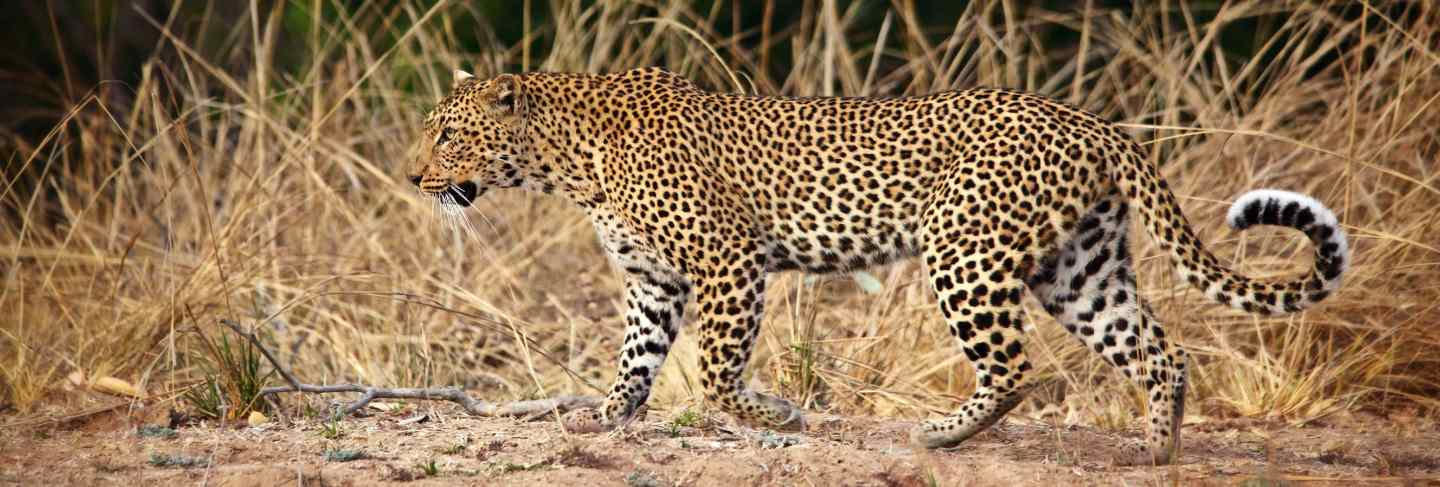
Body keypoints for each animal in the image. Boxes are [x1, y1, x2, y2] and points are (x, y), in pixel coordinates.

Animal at [406, 67, 1349, 465]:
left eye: (447, 133)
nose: (415, 176)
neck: (565, 160)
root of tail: (1093, 122)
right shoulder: (653, 279)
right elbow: (635, 359)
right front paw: (604, 415)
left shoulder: (727, 260)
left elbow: (714, 372)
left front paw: (777, 415)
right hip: (1079, 268)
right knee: (1158, 349)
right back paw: (1154, 452)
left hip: (965, 250)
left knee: (1015, 366)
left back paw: (941, 434)